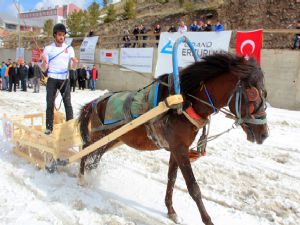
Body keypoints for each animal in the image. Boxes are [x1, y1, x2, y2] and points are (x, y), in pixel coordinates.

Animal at [78, 53, 270, 225]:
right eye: (252, 93)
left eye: (265, 93)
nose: (264, 134)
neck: (184, 103)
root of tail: (97, 101)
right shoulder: (179, 149)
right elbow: (193, 188)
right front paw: (207, 220)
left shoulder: (177, 149)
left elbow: (172, 178)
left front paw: (171, 211)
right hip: (99, 135)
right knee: (84, 150)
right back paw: (81, 177)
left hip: (112, 139)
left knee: (95, 156)